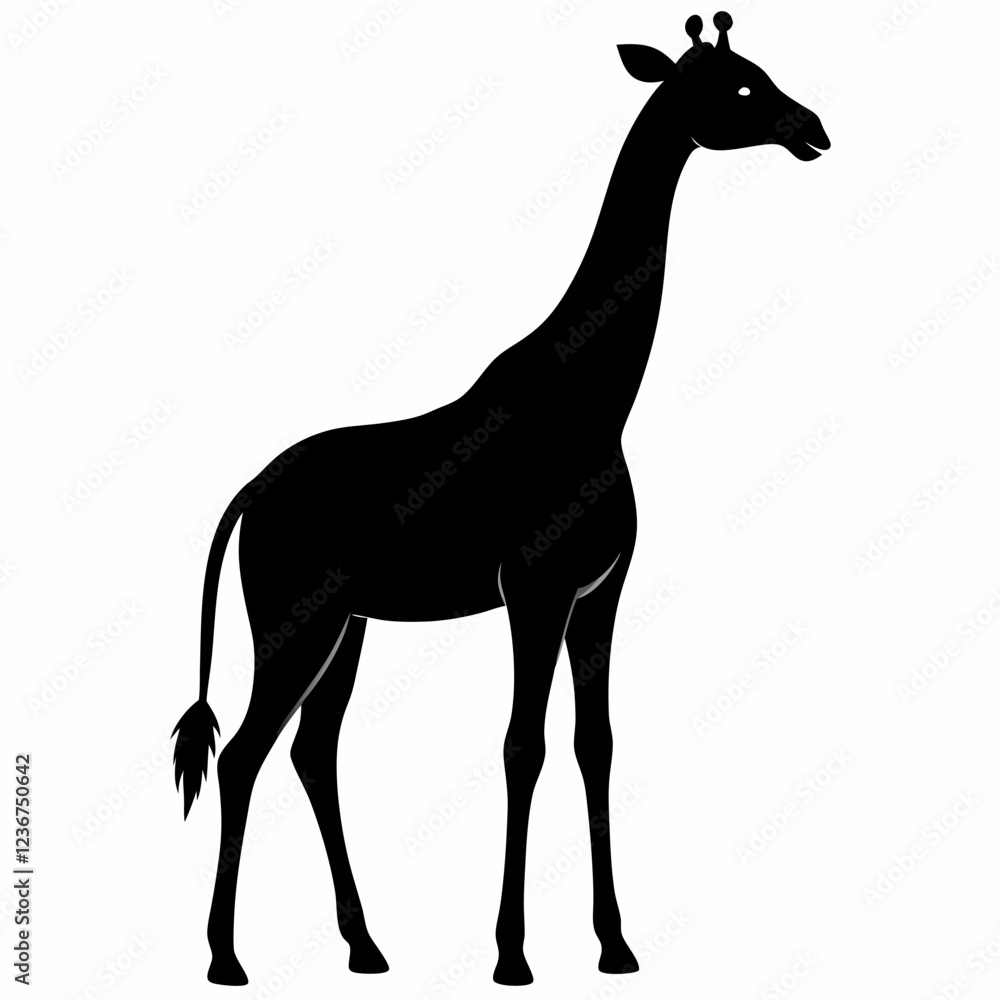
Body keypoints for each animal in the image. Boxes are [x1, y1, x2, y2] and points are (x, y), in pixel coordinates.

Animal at [172, 10, 829, 987]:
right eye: (740, 84)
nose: (813, 128)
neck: (598, 397)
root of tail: (249, 492)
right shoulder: (535, 586)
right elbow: (525, 746)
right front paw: (512, 955)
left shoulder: (601, 588)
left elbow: (595, 744)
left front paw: (615, 946)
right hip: (295, 621)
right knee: (247, 753)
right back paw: (225, 958)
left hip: (346, 624)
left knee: (311, 751)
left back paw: (366, 947)